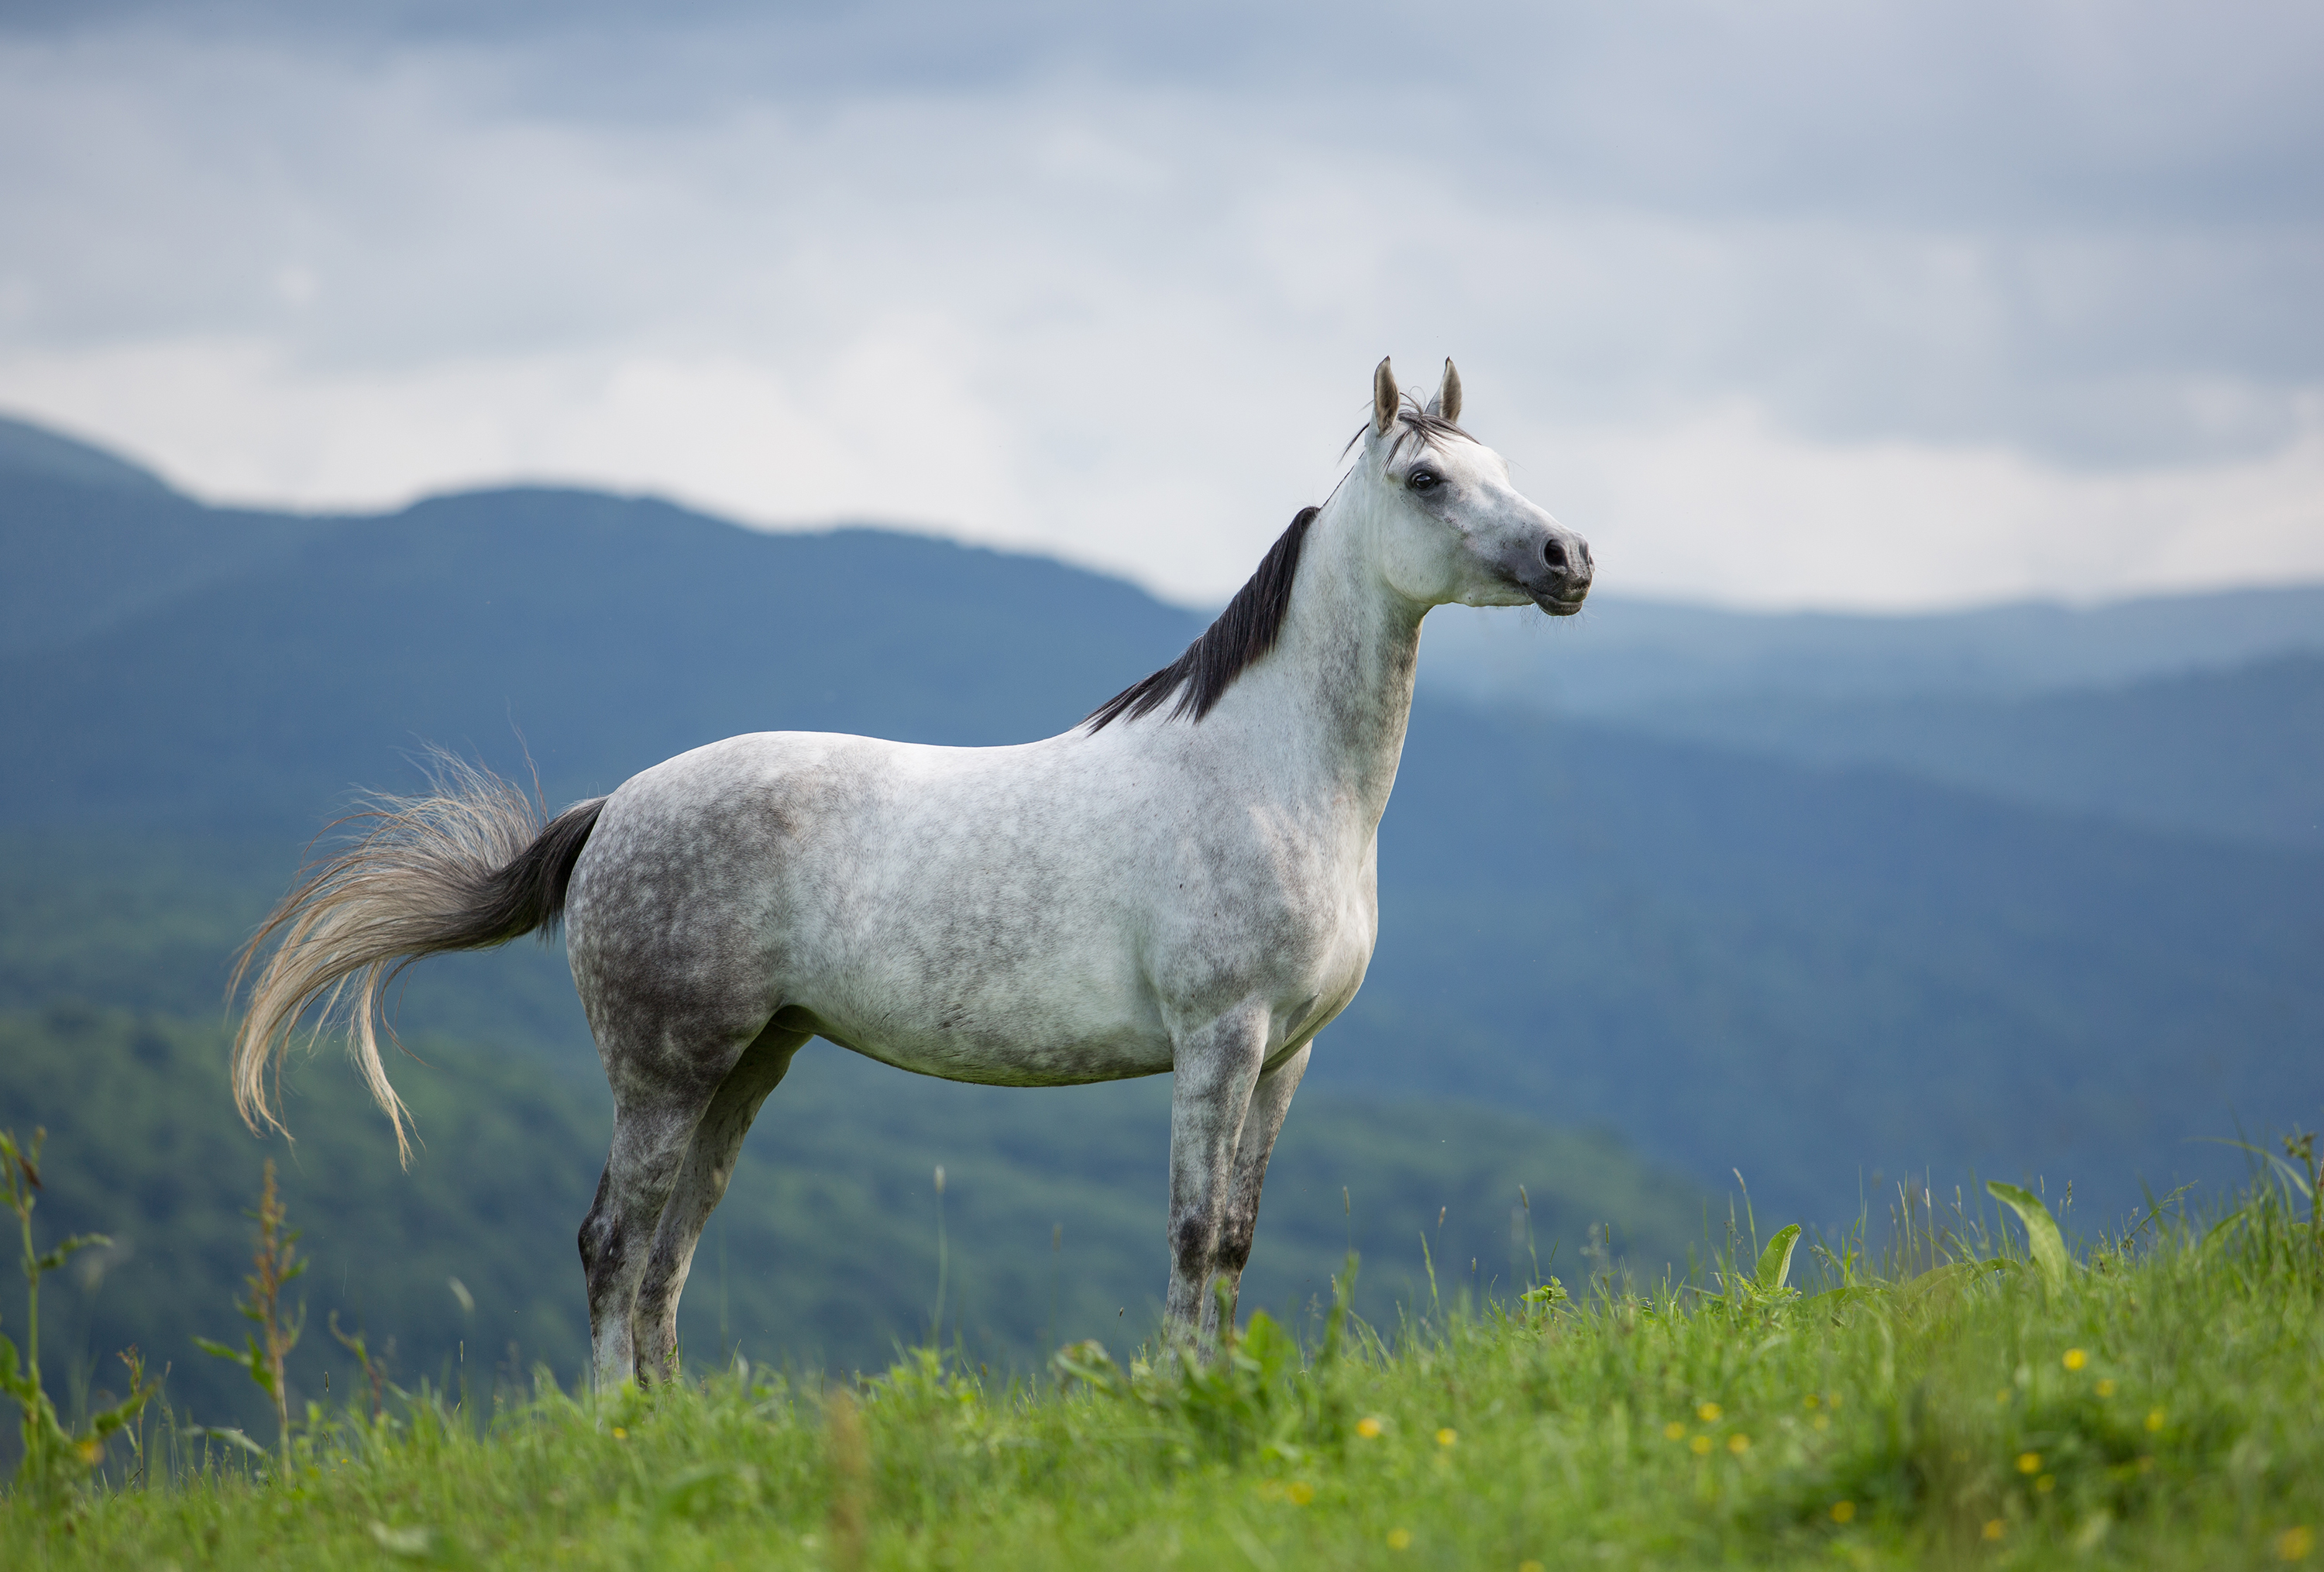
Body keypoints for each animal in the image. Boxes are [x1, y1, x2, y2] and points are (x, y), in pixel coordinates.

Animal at [231, 356, 1580, 1385]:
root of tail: (614, 808)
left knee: (668, 1253)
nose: (1569, 557)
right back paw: (613, 1428)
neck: (1268, 772)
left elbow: (1237, 1239)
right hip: (665, 1073)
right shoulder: (1219, 1037)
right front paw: (1179, 1394)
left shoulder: (1289, 1051)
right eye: (1426, 479)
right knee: (614, 1243)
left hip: (748, 1064)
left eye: (1503, 465)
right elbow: (1194, 1232)